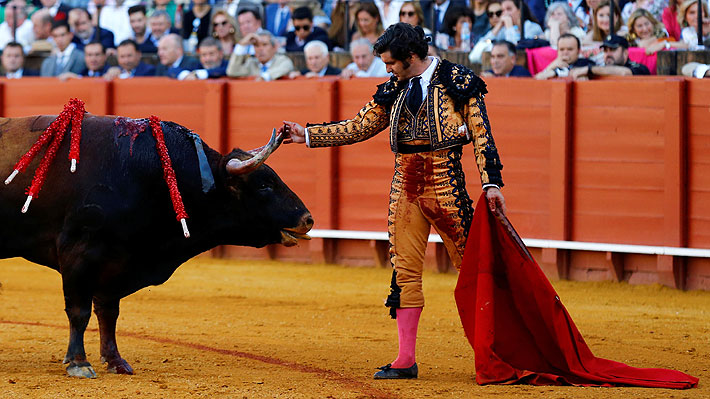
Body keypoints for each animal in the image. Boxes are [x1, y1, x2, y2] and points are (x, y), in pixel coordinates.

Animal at [0, 114, 312, 380]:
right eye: (264, 185)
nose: (307, 219)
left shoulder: (117, 259)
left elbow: (108, 312)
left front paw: (115, 361)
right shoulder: (78, 252)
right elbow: (79, 311)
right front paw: (79, 363)